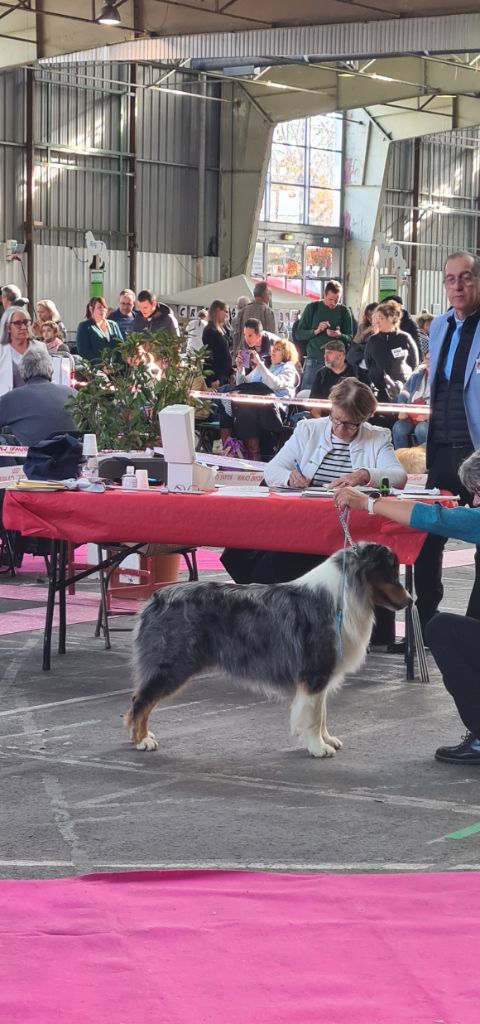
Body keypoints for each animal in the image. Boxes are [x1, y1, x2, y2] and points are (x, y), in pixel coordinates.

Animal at [125, 542, 409, 758]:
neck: (344, 595)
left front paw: (327, 740)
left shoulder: (321, 674)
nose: (411, 600)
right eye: (391, 573)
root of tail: (156, 598)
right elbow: (314, 715)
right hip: (173, 664)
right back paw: (142, 740)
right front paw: (318, 748)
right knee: (141, 700)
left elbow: (322, 712)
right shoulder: (314, 672)